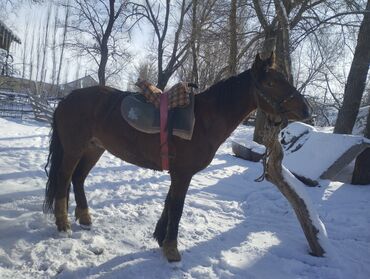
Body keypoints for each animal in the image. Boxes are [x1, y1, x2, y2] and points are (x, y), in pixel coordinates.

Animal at [42, 52, 310, 262]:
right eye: (272, 82)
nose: (306, 109)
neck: (204, 120)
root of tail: (67, 99)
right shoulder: (183, 174)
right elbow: (177, 207)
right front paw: (172, 249)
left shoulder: (178, 173)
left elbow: (169, 203)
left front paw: (161, 239)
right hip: (74, 149)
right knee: (64, 179)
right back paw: (63, 224)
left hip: (94, 149)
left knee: (78, 178)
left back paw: (84, 218)